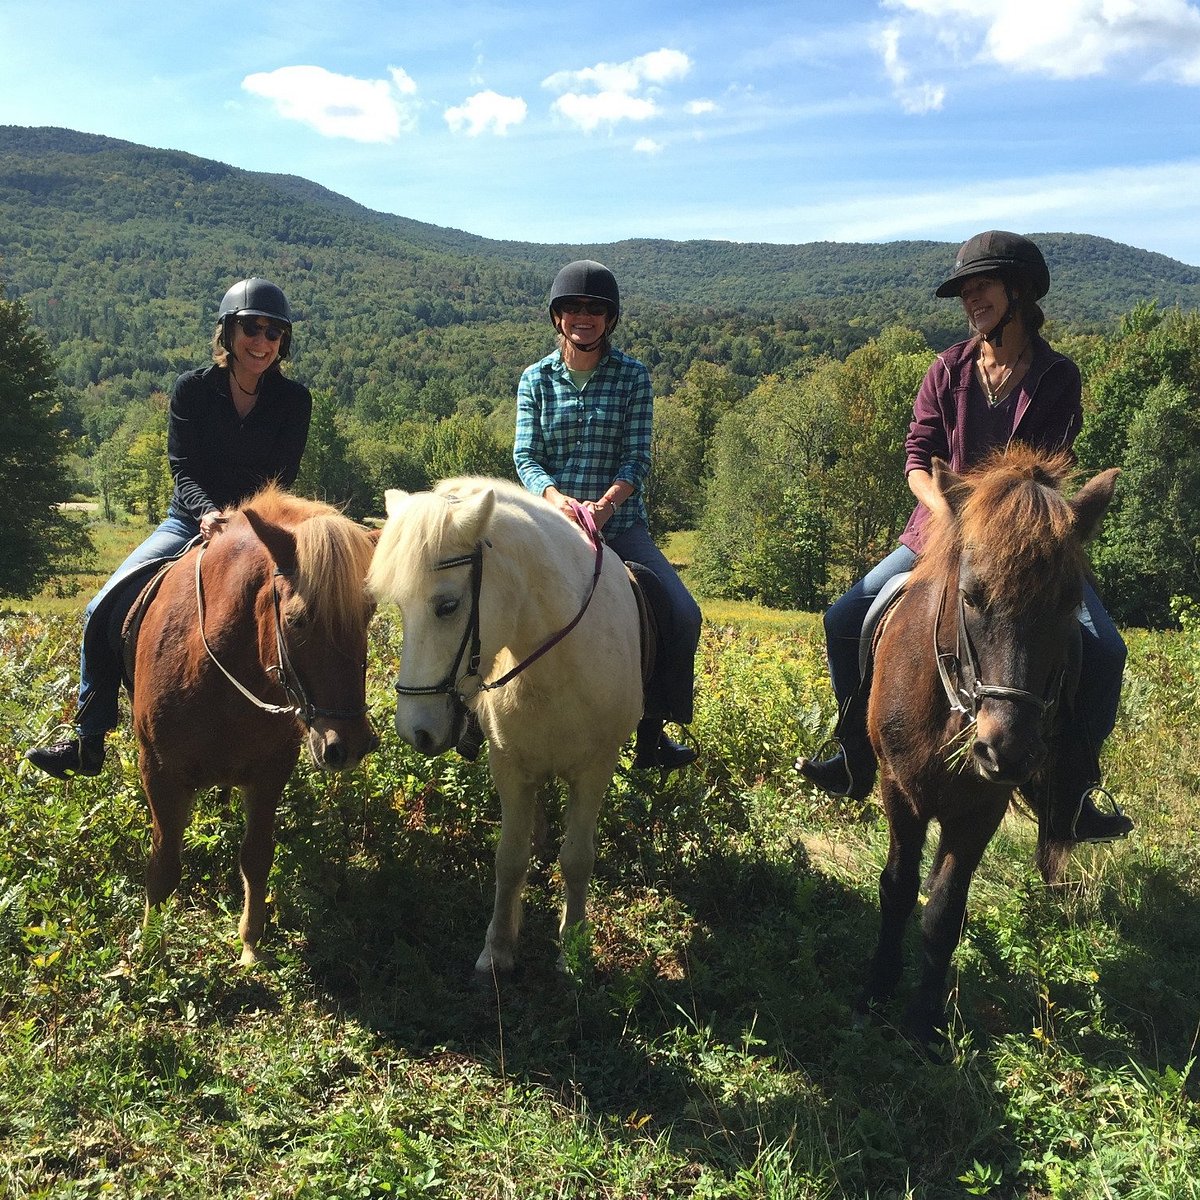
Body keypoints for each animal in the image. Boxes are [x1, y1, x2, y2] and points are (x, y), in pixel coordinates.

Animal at [130, 482, 376, 960]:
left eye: (369, 615)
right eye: (296, 620)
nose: (350, 746)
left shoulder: (269, 772)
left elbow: (256, 855)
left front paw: (250, 944)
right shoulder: (159, 773)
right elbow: (164, 864)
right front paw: (151, 950)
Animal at [367, 477, 643, 974]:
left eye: (448, 606)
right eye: (399, 607)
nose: (415, 731)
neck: (555, 666)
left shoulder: (595, 770)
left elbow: (577, 859)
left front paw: (572, 945)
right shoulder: (510, 768)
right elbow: (510, 859)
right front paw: (498, 948)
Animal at [864, 451, 1113, 1041]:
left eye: (1071, 602)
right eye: (971, 597)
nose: (1007, 751)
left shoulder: (980, 810)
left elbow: (943, 911)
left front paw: (925, 1020)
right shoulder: (899, 792)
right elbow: (898, 888)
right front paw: (878, 987)